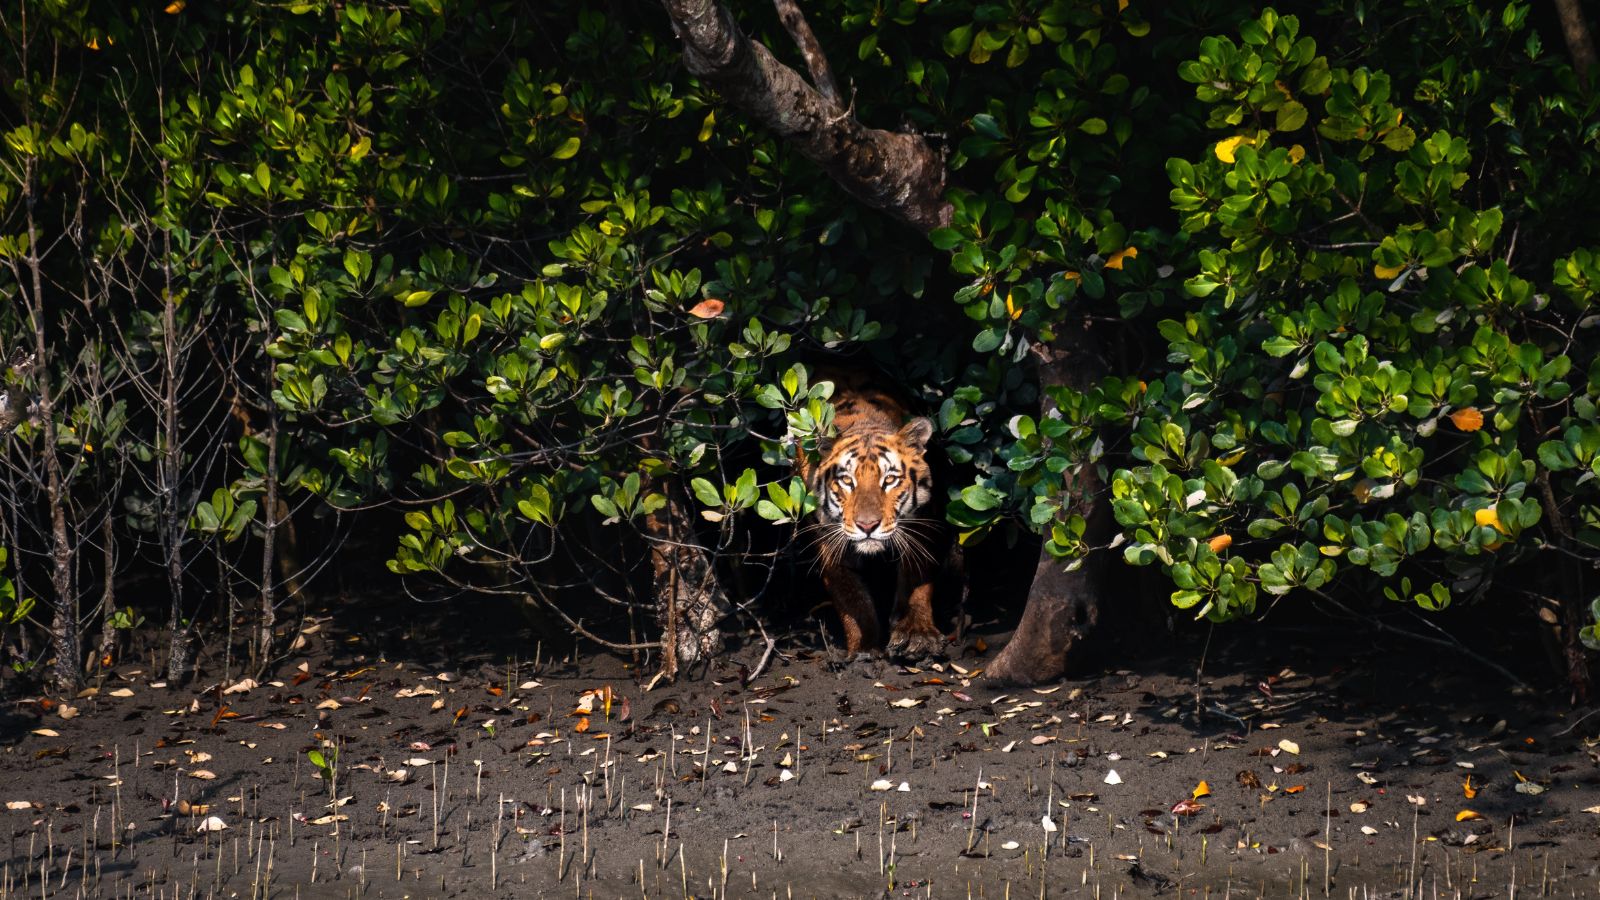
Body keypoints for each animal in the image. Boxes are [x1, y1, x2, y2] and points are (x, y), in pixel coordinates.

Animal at [800, 366, 947, 659]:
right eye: (847, 480)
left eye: (889, 479)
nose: (867, 526)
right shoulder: (830, 540)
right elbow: (852, 597)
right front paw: (865, 649)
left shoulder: (921, 524)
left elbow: (917, 577)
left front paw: (917, 634)